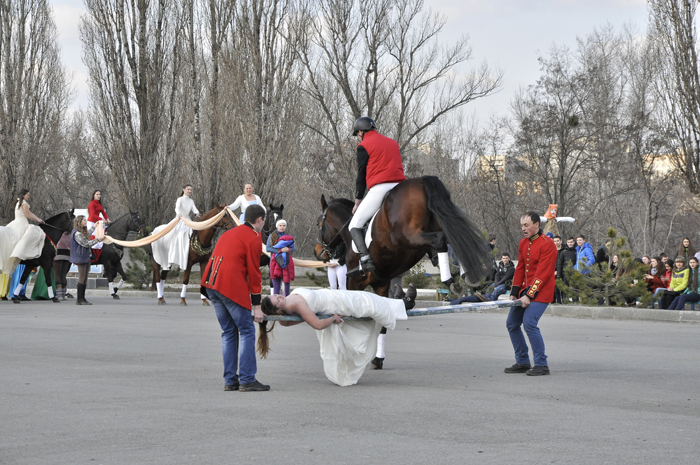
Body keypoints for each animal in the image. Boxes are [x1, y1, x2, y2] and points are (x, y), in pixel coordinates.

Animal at [315, 176, 491, 367]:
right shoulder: (382, 285)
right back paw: (465, 278)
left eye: (318, 224)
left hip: (409, 236)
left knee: (441, 240)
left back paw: (450, 281)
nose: (319, 252)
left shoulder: (355, 283)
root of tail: (421, 181)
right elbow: (382, 323)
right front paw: (378, 358)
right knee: (452, 237)